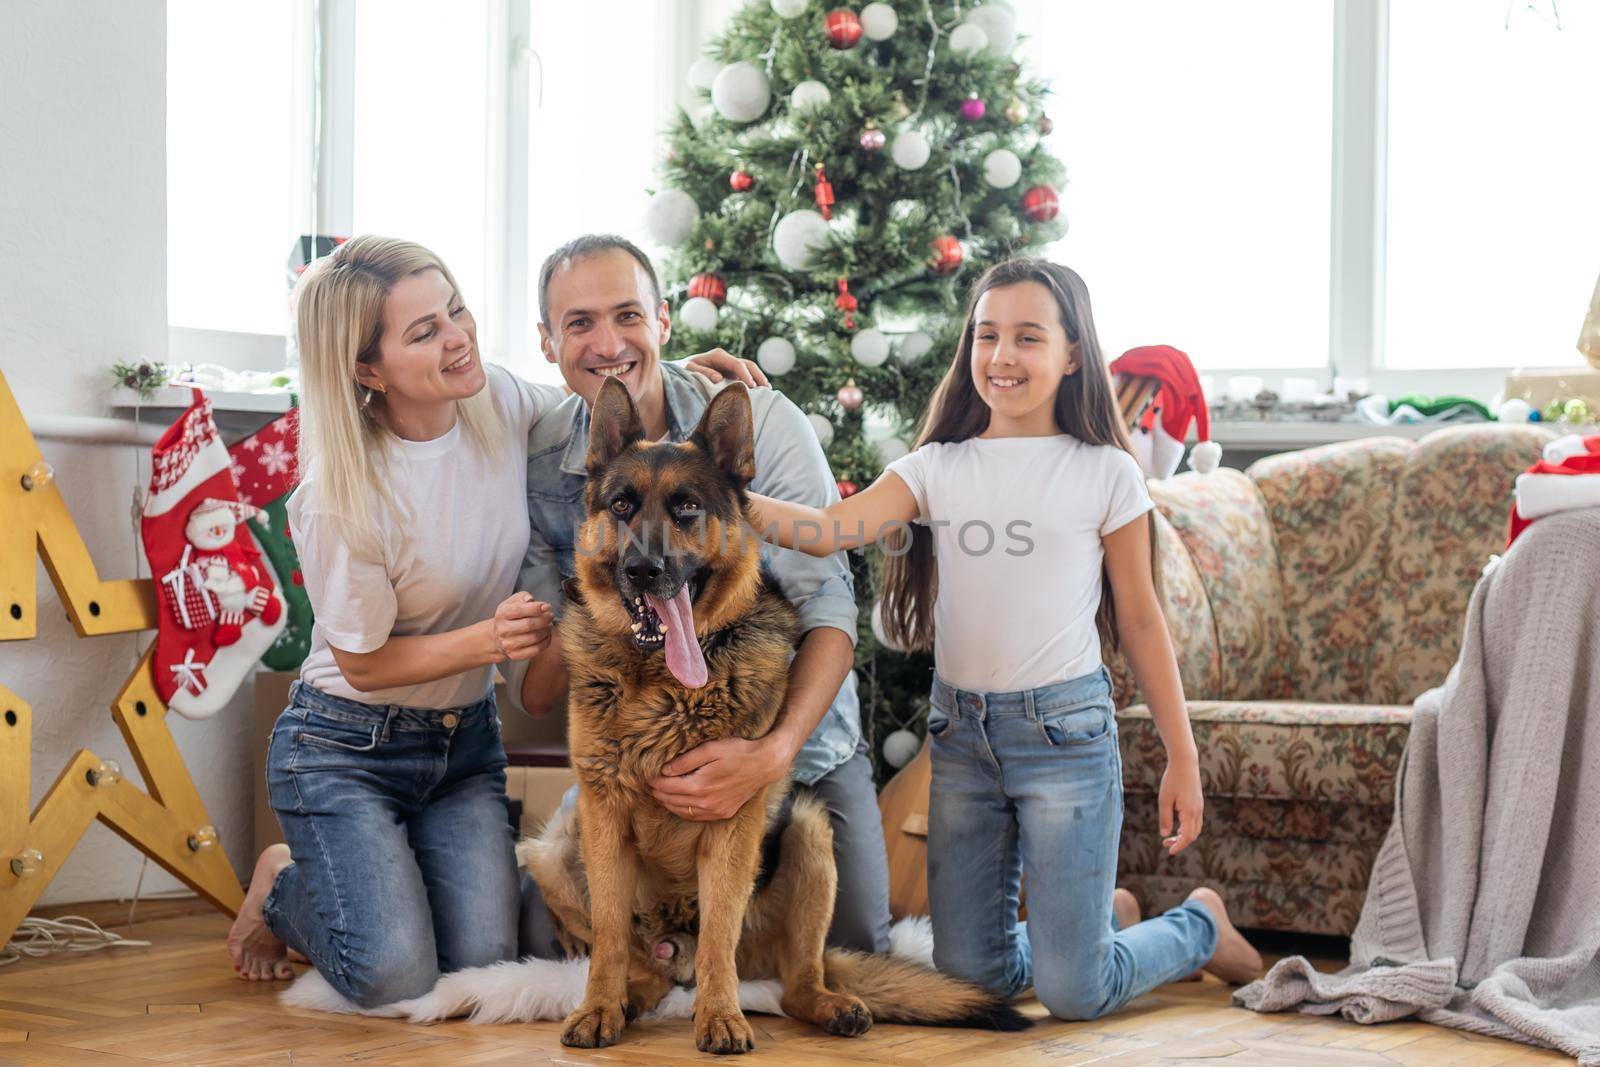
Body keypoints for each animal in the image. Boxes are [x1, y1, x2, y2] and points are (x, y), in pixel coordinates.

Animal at [518, 379, 1030, 1055]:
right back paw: (631, 997)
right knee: (644, 965)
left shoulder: (731, 822)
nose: (642, 570)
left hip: (811, 835)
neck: (662, 685)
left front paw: (720, 1019)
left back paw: (820, 1004)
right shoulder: (604, 817)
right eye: (622, 505)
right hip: (550, 850)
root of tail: (674, 958)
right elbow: (606, 934)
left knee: (790, 980)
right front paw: (598, 1005)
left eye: (686, 507)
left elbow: (719, 935)